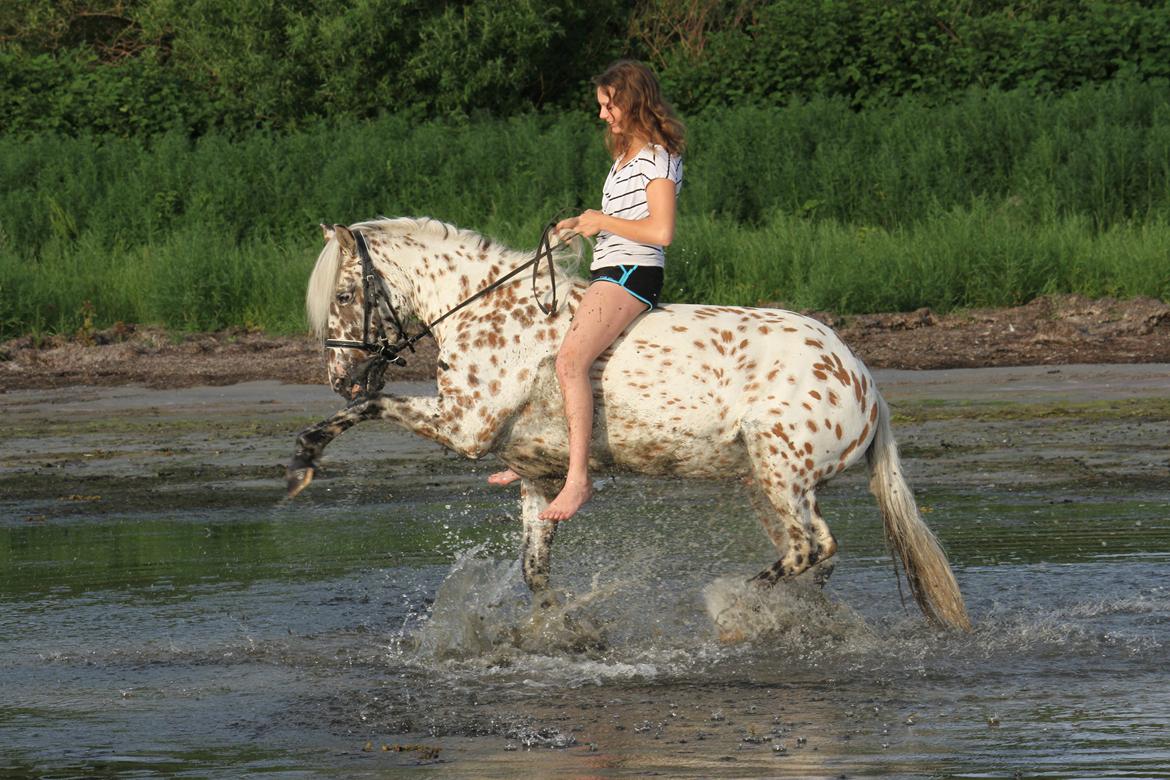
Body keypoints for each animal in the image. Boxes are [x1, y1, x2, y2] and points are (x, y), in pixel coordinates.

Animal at [285, 216, 968, 631]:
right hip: (768, 482)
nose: (340, 376)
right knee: (814, 556)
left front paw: (302, 461)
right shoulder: (536, 477)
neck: (487, 312)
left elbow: (371, 409)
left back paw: (730, 610)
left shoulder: (464, 427)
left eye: (344, 296)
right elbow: (535, 571)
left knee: (810, 548)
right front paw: (561, 633)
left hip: (781, 471)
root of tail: (864, 380)